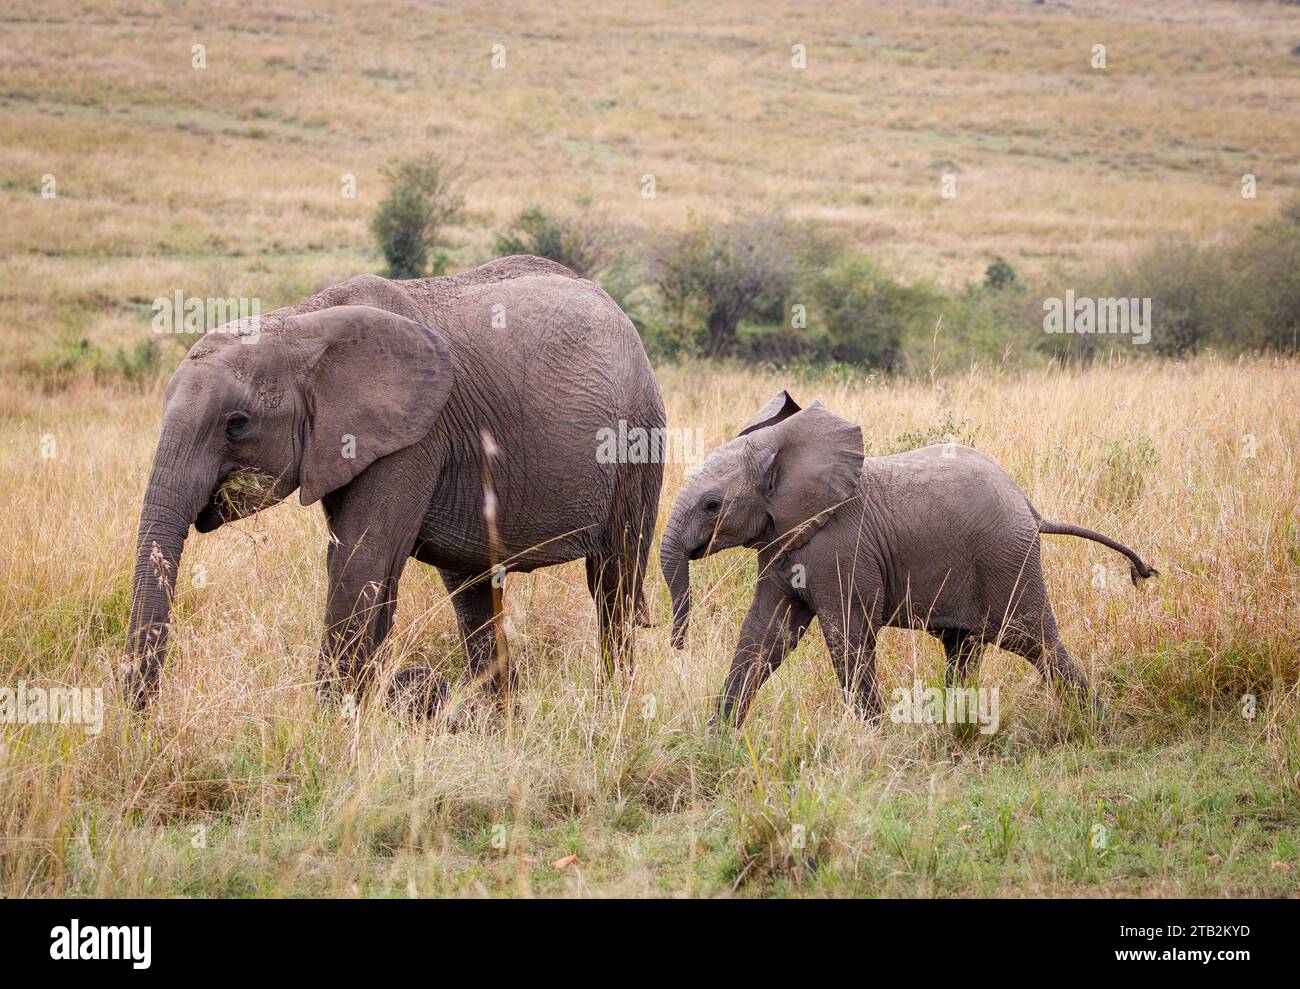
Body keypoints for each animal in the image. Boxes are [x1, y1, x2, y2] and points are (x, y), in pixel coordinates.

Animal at [126, 256, 664, 714]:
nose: (143, 719)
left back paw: (615, 708)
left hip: (637, 439)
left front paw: (329, 728)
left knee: (614, 582)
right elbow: (368, 571)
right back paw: (502, 723)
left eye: (236, 424)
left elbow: (359, 561)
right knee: (474, 595)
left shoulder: (415, 438)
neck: (301, 327)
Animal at [659, 391, 1158, 728]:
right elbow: (765, 633)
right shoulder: (783, 542)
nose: (677, 646)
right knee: (963, 649)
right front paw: (719, 739)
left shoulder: (842, 548)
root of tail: (1030, 507)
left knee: (1034, 640)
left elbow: (846, 634)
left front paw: (871, 737)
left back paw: (1098, 724)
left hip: (1007, 558)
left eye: (711, 505)